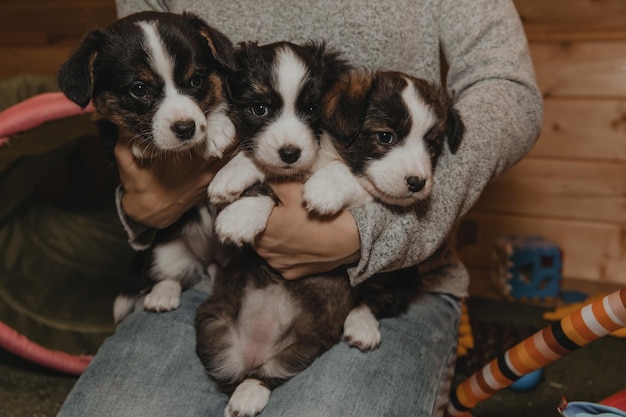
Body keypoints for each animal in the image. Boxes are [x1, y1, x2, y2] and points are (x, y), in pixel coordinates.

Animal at [57, 10, 236, 322]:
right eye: (139, 90)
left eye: (196, 81)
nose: (185, 128)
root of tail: (211, 259)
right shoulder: (107, 138)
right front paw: (143, 144)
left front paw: (216, 129)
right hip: (166, 249)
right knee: (170, 275)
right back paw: (161, 296)